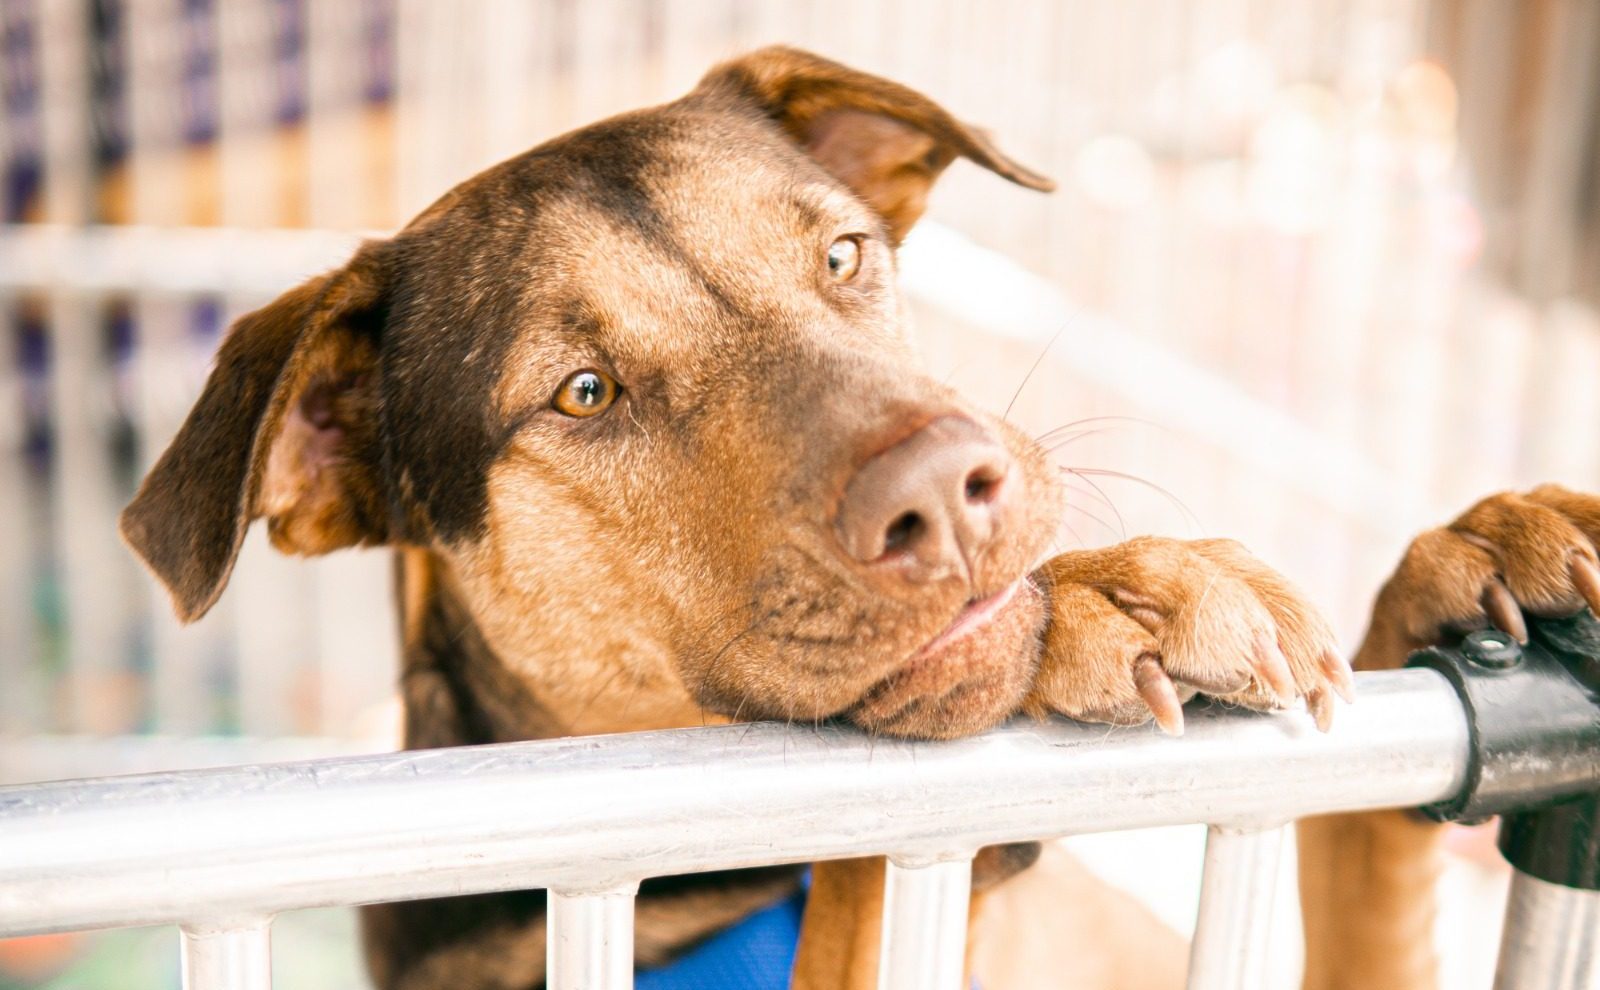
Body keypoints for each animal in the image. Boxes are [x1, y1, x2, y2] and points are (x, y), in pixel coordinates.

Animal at [121, 46, 1600, 990]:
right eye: (583, 393)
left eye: (843, 253)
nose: (947, 493)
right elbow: (867, 877)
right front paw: (1106, 594)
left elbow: (1360, 851)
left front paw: (1474, 550)